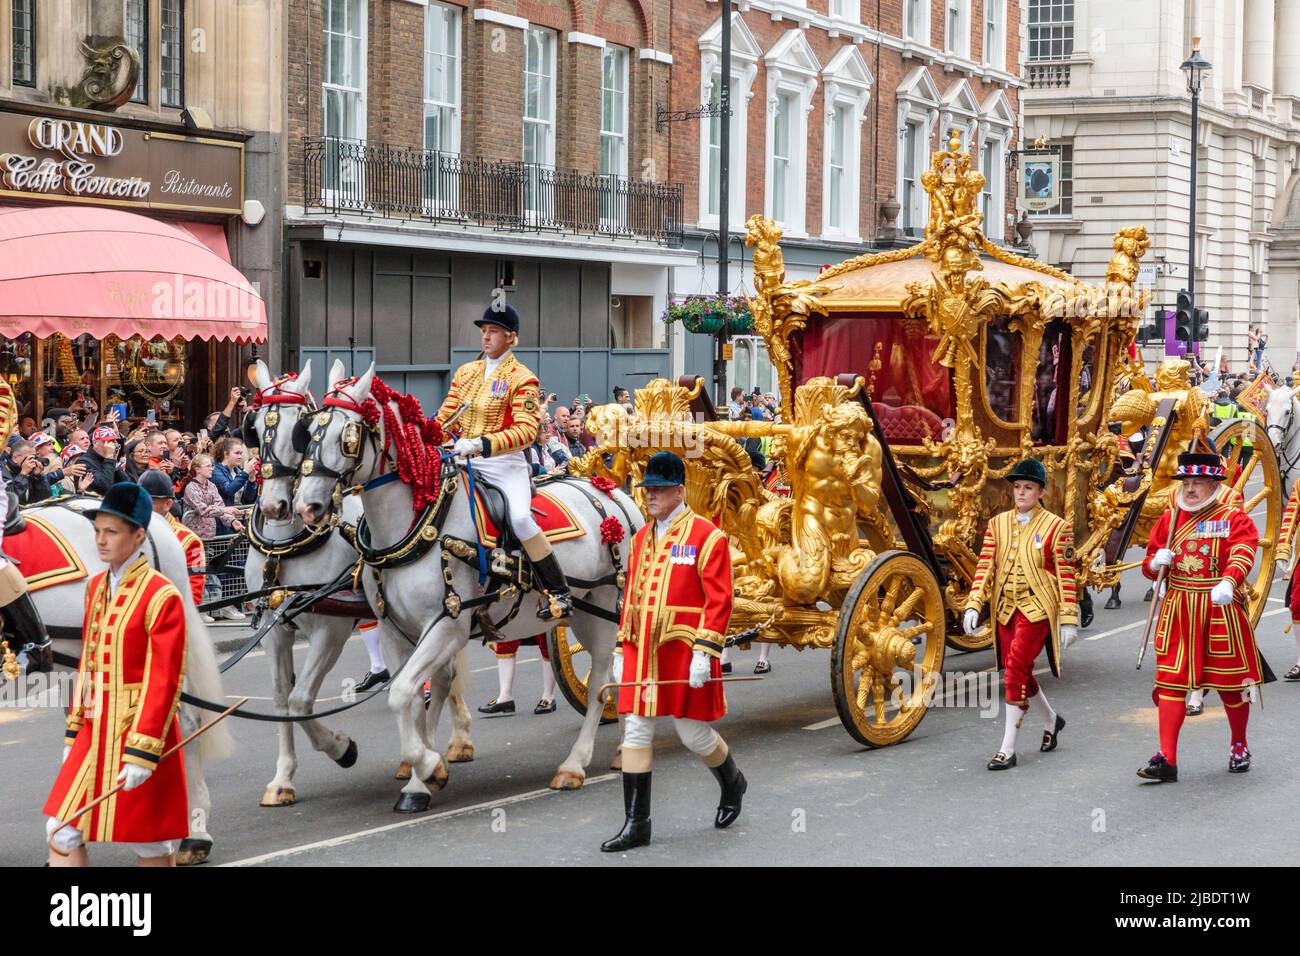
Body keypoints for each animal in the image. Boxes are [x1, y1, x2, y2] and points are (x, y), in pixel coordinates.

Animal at [293, 361, 639, 811]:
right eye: (308, 432)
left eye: (347, 437)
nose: (307, 507)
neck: (421, 523)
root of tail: (612, 493)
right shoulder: (395, 630)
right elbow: (411, 698)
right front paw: (419, 779)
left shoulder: (447, 626)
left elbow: (400, 693)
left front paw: (428, 765)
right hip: (584, 612)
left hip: (604, 610)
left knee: (602, 680)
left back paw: (577, 763)